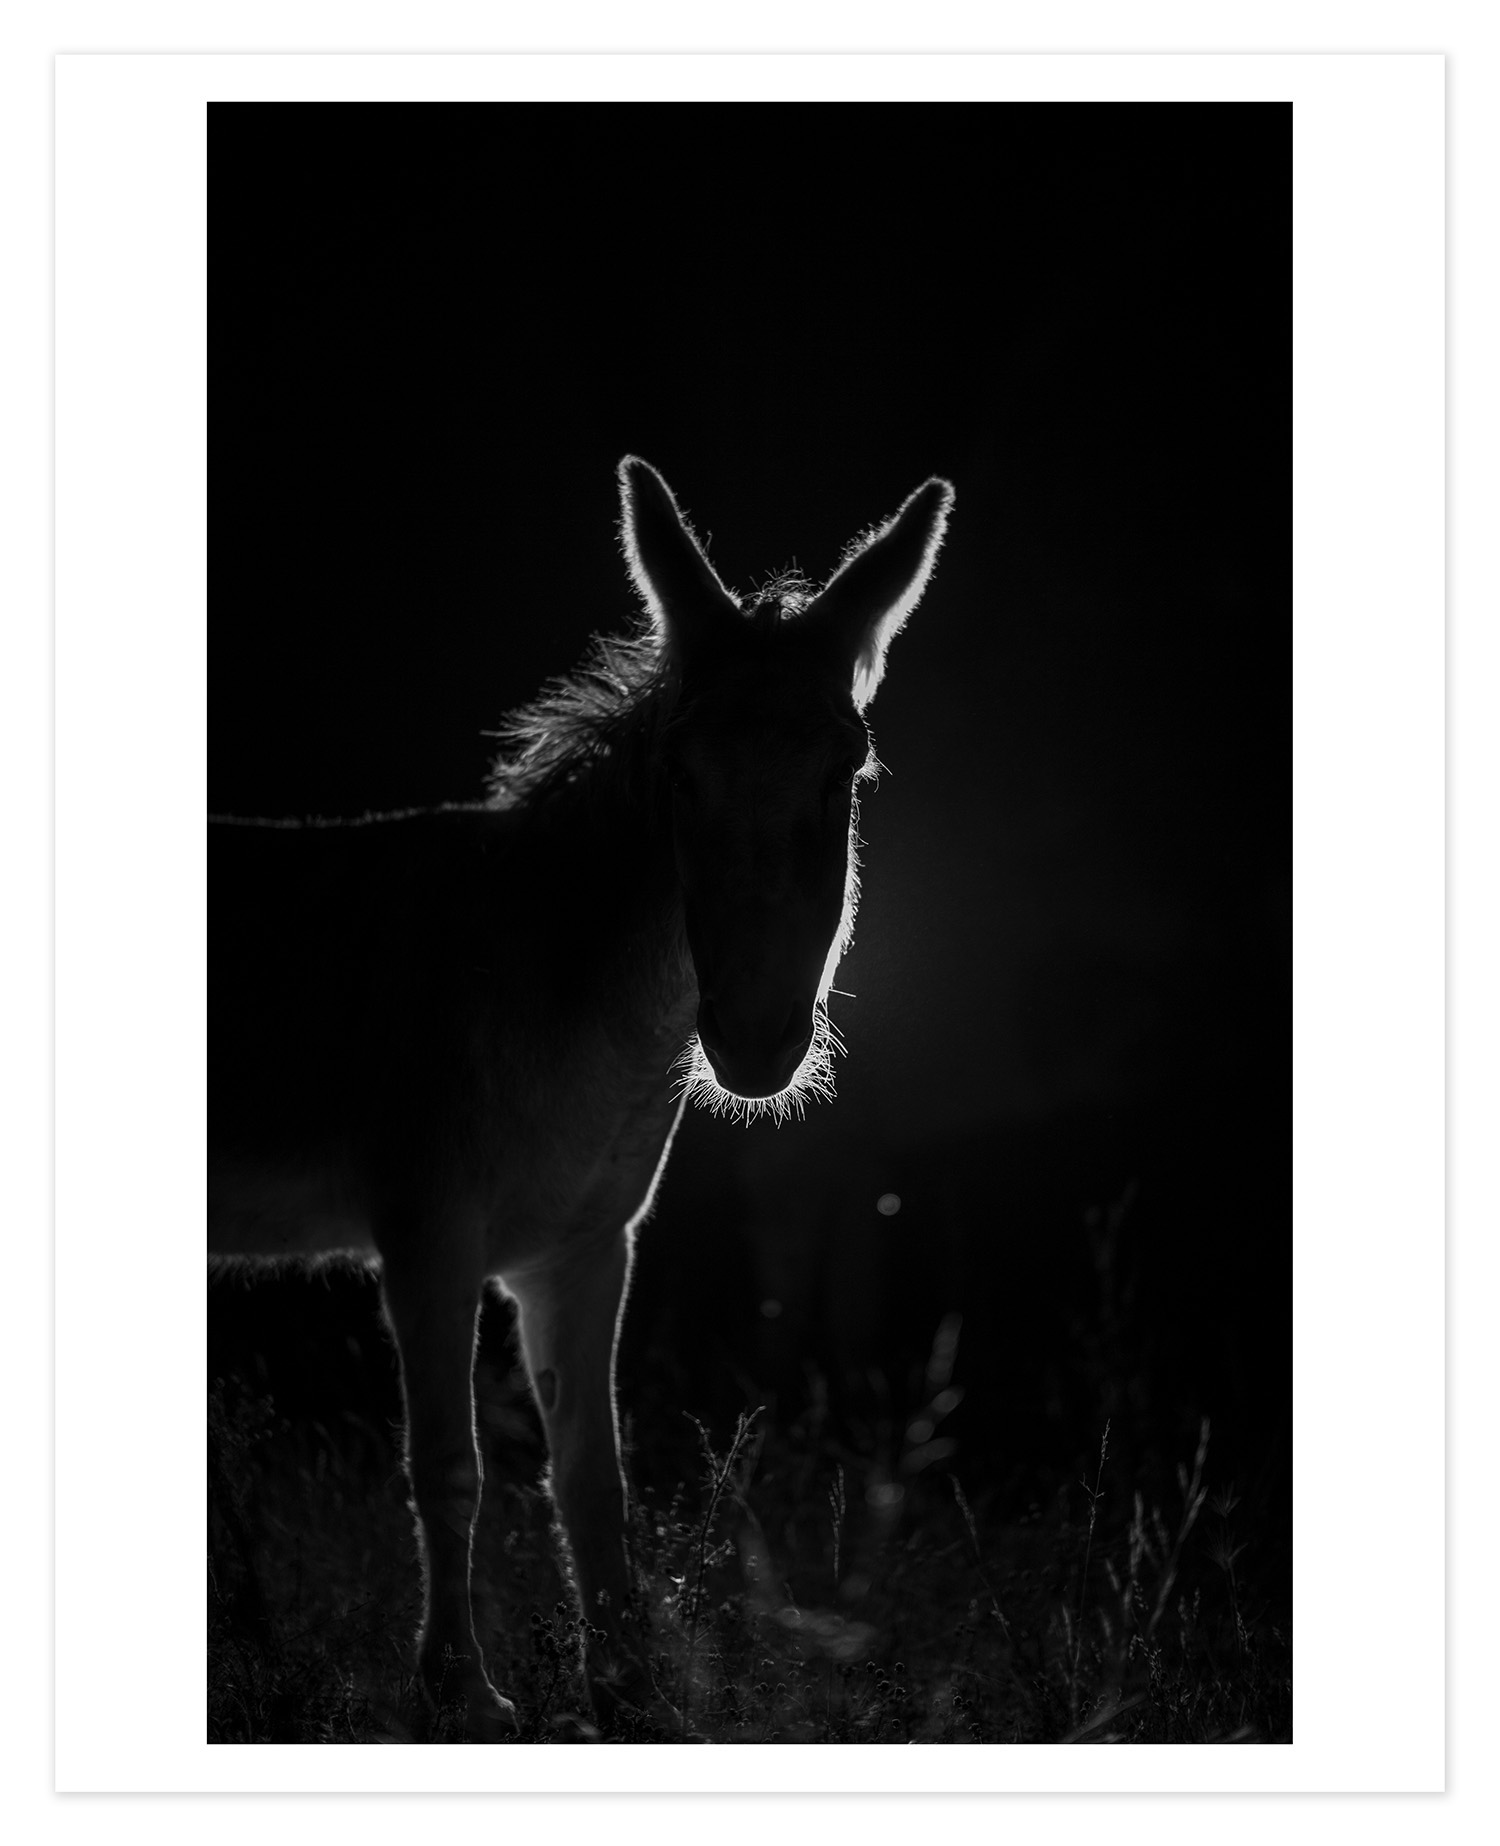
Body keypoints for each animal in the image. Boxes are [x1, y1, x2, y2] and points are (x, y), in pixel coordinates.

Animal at [208, 457, 954, 1738]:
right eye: (679, 772)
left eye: (845, 767)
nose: (755, 1041)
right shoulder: (425, 1228)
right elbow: (446, 1465)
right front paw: (459, 1691)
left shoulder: (585, 1242)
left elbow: (591, 1473)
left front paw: (634, 1687)